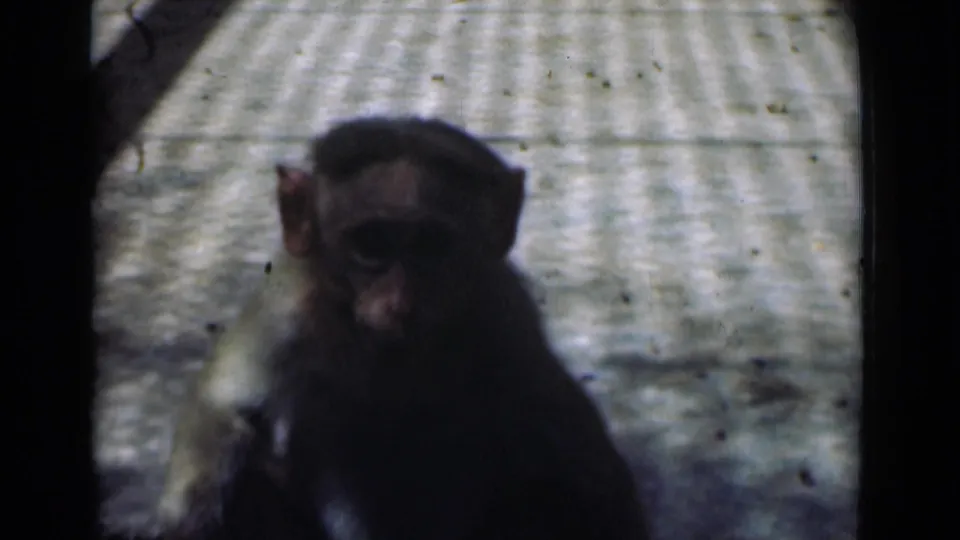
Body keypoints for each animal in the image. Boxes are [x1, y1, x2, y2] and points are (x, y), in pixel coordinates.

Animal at [156, 116, 650, 540]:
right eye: (371, 244)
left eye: (431, 245)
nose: (399, 300)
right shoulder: (288, 312)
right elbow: (224, 408)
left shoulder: (503, 314)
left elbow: (580, 459)